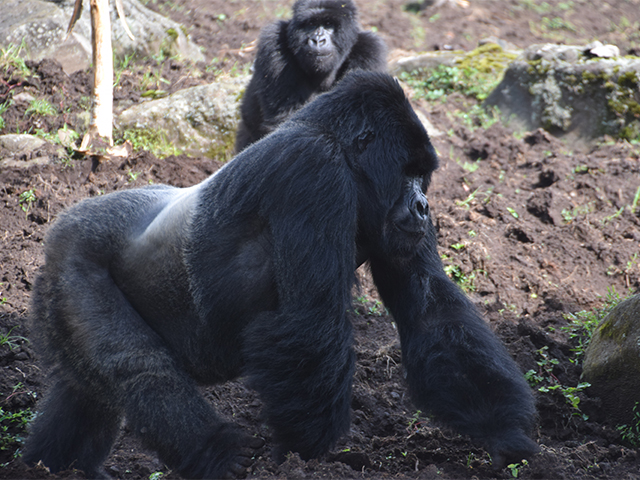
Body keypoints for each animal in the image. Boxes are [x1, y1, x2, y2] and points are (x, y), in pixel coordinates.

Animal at [22, 69, 536, 478]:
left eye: (422, 174)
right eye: (406, 171)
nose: (424, 206)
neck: (340, 148)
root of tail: (60, 220)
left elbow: (429, 312)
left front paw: (508, 430)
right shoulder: (313, 171)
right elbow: (309, 324)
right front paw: (309, 455)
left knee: (85, 390)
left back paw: (50, 465)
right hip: (75, 253)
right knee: (140, 368)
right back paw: (213, 452)